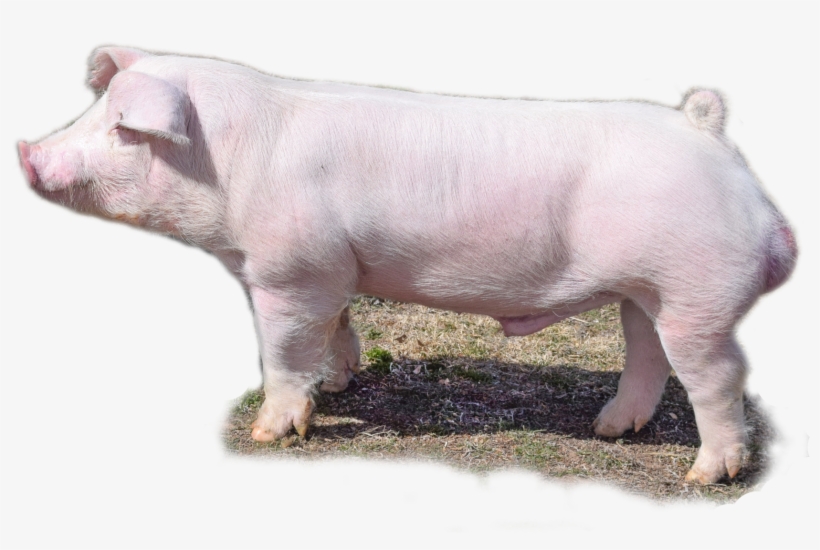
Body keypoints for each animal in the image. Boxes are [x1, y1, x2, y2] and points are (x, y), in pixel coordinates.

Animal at [18, 46, 797, 485]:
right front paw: (340, 383)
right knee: (646, 353)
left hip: (696, 291)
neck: (231, 168)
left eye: (124, 130)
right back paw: (610, 430)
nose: (25, 150)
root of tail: (706, 130)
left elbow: (282, 351)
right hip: (648, 290)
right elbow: (338, 325)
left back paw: (704, 477)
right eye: (93, 113)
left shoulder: (289, 271)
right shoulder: (331, 270)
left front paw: (272, 432)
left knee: (717, 376)